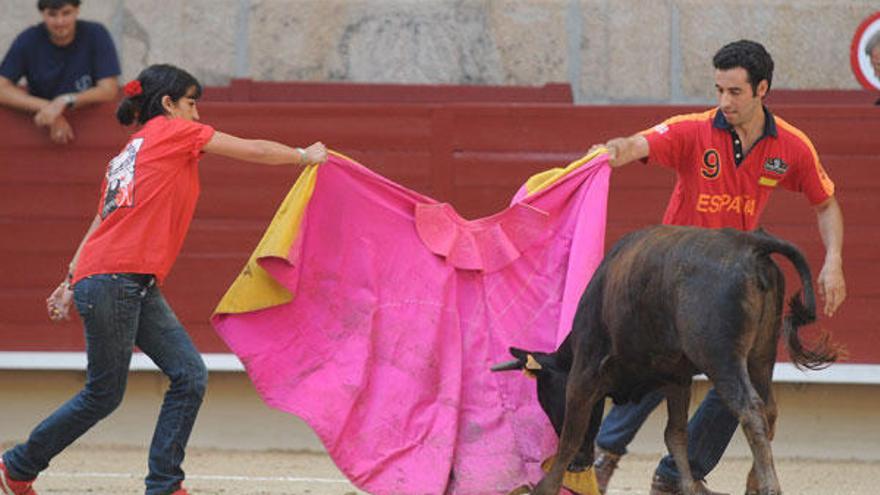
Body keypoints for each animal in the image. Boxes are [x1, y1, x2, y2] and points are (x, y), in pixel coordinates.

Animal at [492, 226, 836, 495]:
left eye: (548, 399)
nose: (581, 464)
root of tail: (749, 243)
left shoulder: (583, 372)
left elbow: (571, 433)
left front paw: (545, 487)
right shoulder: (677, 379)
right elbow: (675, 433)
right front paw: (687, 487)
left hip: (721, 360)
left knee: (749, 409)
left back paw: (768, 486)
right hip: (761, 355)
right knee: (769, 409)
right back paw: (753, 484)